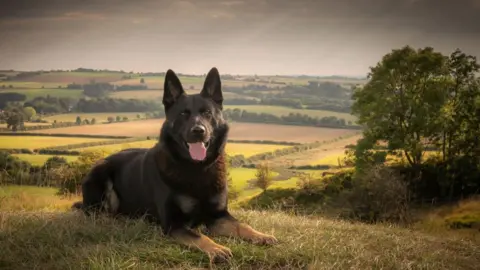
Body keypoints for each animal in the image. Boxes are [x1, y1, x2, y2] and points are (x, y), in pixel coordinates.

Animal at [73, 67, 280, 262]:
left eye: (207, 113)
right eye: (183, 114)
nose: (198, 131)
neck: (197, 168)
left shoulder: (219, 216)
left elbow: (242, 225)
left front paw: (261, 235)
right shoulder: (175, 224)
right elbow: (199, 236)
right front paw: (216, 249)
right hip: (101, 177)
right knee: (100, 214)